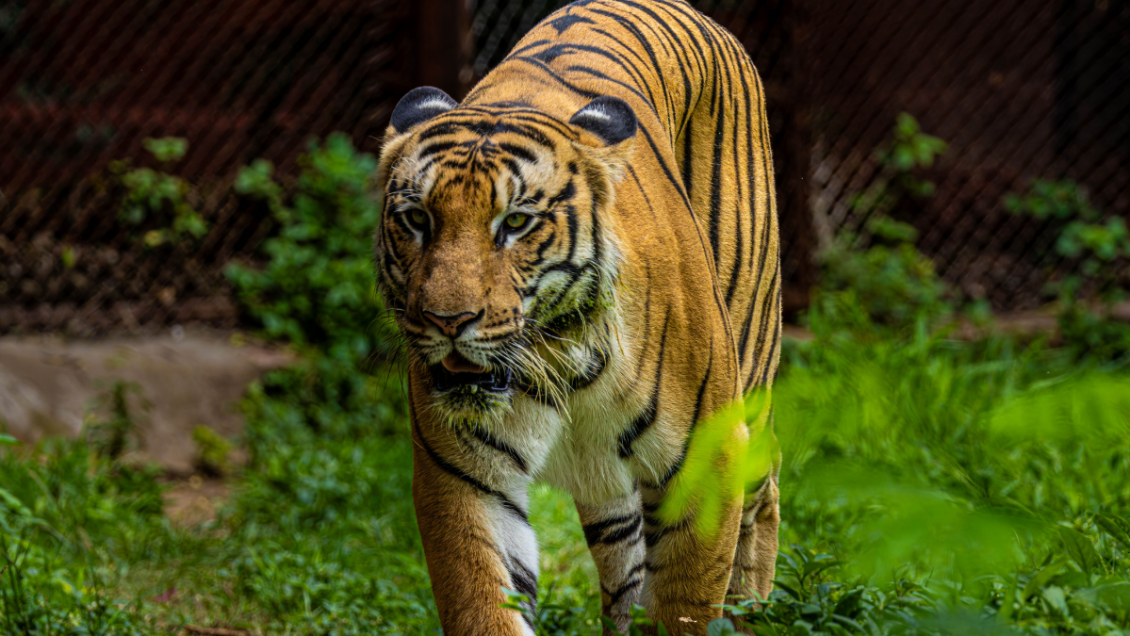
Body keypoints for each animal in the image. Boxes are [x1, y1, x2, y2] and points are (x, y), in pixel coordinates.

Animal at [373, 0, 781, 633]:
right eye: (417, 219)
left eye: (515, 222)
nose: (447, 321)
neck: (563, 358)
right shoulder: (464, 480)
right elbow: (484, 603)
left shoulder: (706, 463)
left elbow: (685, 606)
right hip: (607, 484)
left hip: (751, 374)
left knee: (765, 494)